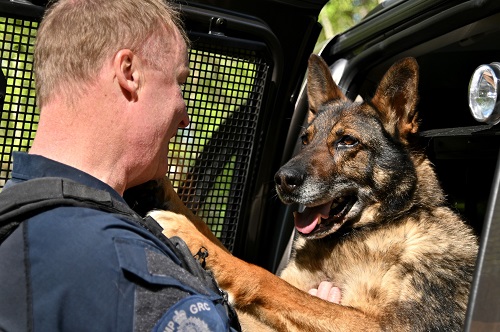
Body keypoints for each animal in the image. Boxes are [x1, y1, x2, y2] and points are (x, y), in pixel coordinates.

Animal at [147, 53, 476, 330]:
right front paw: (164, 187)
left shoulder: (380, 325)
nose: (281, 180)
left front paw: (188, 234)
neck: (372, 228)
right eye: (306, 139)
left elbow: (268, 278)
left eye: (347, 141)